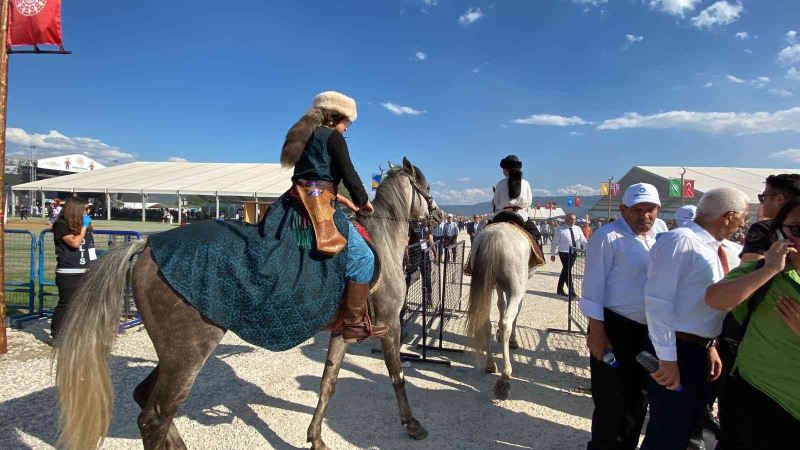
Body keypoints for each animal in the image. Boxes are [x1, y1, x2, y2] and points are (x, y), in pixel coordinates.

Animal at [54, 158, 444, 450]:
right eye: (427, 188)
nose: (440, 216)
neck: (381, 241)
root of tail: (146, 247)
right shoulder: (390, 325)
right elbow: (397, 376)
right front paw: (412, 424)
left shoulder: (342, 332)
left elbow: (327, 383)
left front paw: (316, 438)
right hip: (187, 355)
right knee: (154, 417)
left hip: (173, 356)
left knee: (146, 402)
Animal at [466, 223, 540, 400]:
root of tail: (493, 236)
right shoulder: (518, 290)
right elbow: (514, 312)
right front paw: (512, 340)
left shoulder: (499, 286)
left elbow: (501, 305)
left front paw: (499, 336)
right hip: (517, 289)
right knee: (506, 322)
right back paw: (504, 379)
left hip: (488, 285)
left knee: (485, 324)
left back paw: (490, 364)